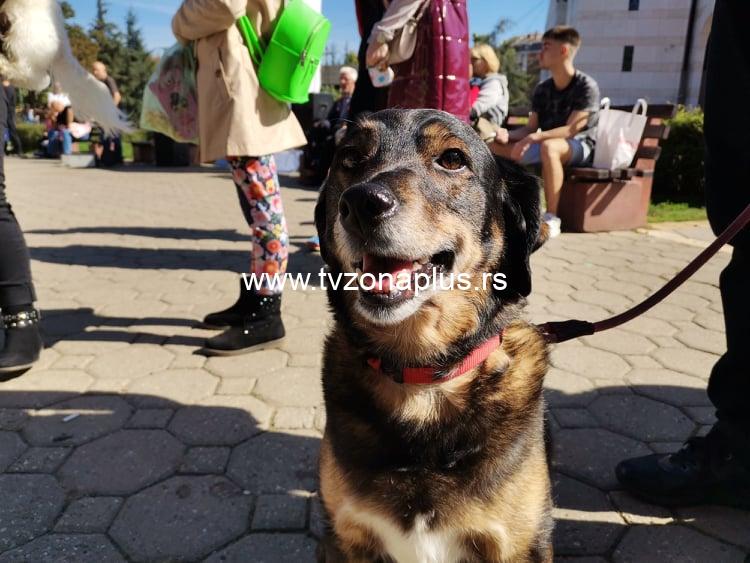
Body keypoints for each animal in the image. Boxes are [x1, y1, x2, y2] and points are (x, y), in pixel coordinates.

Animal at [314, 109, 552, 562]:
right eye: (350, 158)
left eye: (453, 159)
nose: (361, 203)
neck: (423, 379)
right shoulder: (345, 536)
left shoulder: (519, 545)